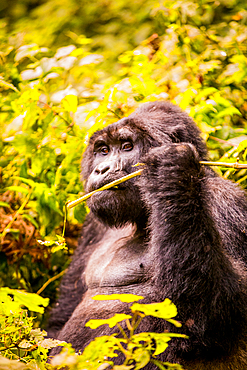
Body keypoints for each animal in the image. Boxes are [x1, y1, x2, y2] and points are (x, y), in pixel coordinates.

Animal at [47, 101, 247, 370]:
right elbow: (60, 319)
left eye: (127, 146)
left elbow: (219, 321)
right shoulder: (93, 224)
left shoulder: (226, 202)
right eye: (103, 150)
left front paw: (173, 173)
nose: (101, 169)